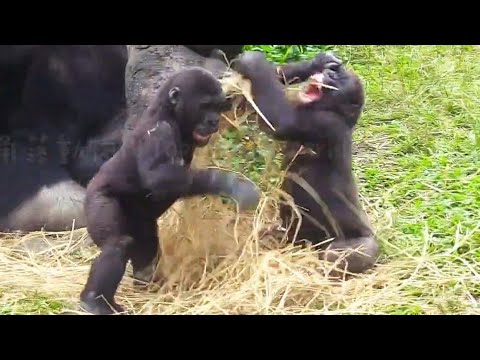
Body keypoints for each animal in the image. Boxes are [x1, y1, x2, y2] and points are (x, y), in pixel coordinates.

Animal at [81, 67, 262, 316]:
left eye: (218, 107)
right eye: (205, 106)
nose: (214, 121)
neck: (169, 113)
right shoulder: (159, 132)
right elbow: (158, 177)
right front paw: (228, 183)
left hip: (140, 223)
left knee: (146, 246)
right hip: (96, 200)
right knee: (117, 244)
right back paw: (94, 301)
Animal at [234, 51, 380, 276]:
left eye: (335, 79)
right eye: (332, 71)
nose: (329, 71)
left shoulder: (325, 123)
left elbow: (281, 121)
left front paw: (252, 61)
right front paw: (319, 61)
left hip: (363, 240)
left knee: (345, 252)